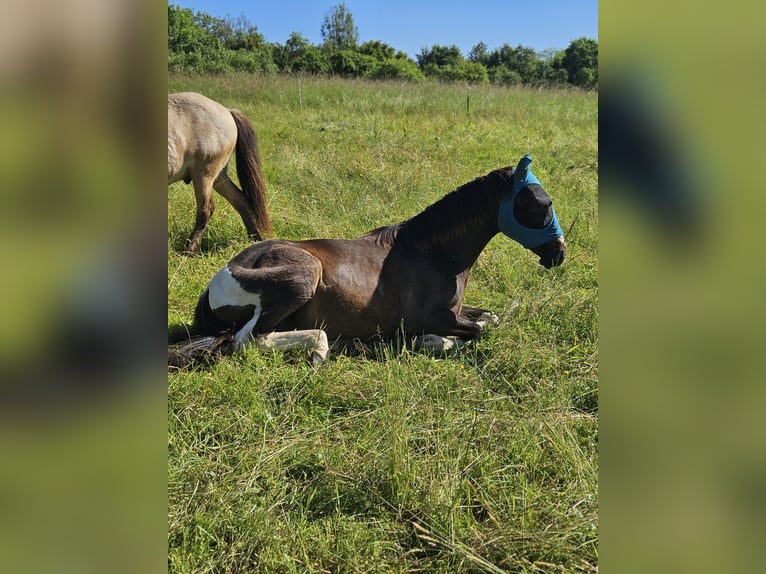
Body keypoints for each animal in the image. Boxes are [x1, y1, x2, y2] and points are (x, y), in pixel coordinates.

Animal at [168, 91, 272, 254]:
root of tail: (227, 111)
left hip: (204, 174)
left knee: (205, 210)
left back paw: (189, 250)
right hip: (219, 177)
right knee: (241, 200)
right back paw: (255, 238)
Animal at [171, 155, 568, 366]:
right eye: (539, 203)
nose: (559, 253)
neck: (434, 254)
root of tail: (218, 281)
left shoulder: (456, 311)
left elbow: (490, 318)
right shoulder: (435, 317)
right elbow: (476, 332)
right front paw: (431, 342)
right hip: (303, 278)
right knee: (248, 340)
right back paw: (323, 348)